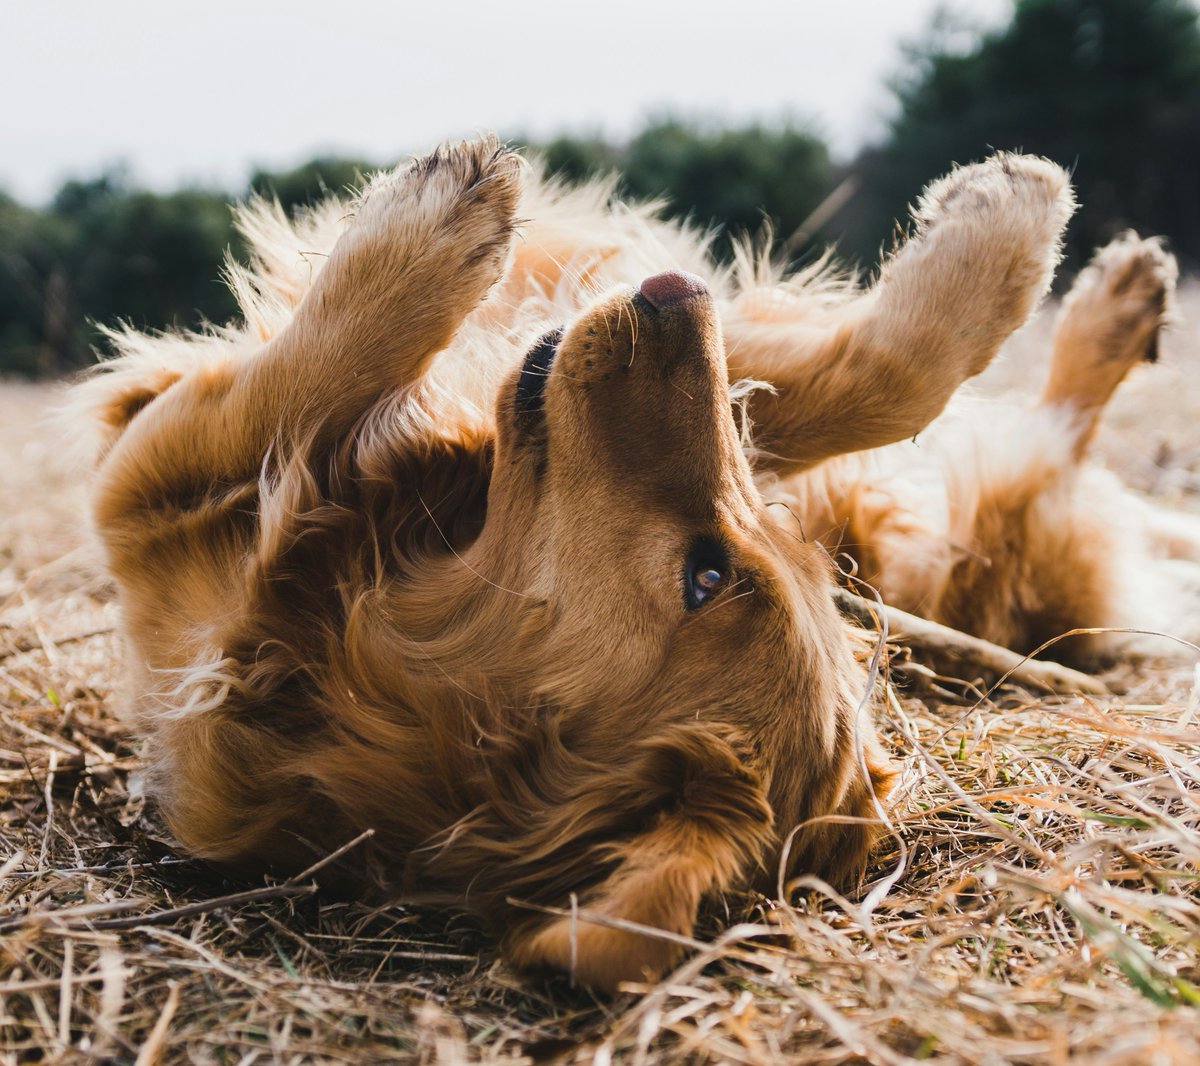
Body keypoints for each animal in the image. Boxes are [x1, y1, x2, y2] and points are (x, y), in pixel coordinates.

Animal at [75, 135, 1171, 989]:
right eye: (739, 562)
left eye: (705, 576)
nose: (679, 294)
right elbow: (870, 381)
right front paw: (1007, 223)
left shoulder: (147, 499)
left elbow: (305, 377)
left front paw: (428, 228)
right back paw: (1122, 299)